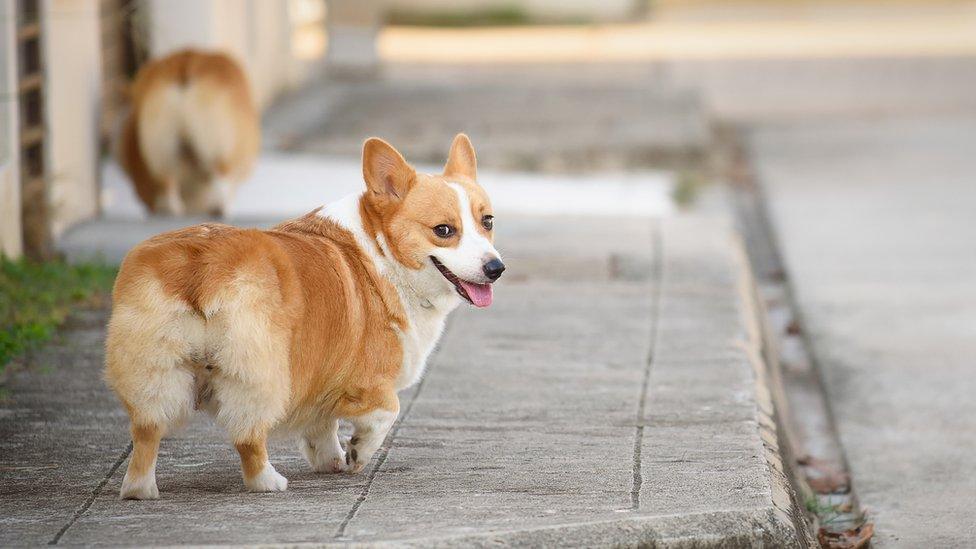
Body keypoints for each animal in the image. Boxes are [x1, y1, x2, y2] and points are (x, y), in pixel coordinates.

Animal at [106, 135, 504, 498]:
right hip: (259, 371)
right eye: (444, 230)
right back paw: (268, 481)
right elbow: (386, 411)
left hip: (154, 370)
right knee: (248, 435)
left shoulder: (321, 382)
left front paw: (330, 460)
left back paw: (140, 490)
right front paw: (357, 453)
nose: (496, 268)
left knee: (146, 433)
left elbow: (321, 427)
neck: (381, 247)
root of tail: (199, 262)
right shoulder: (368, 381)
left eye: (487, 222)